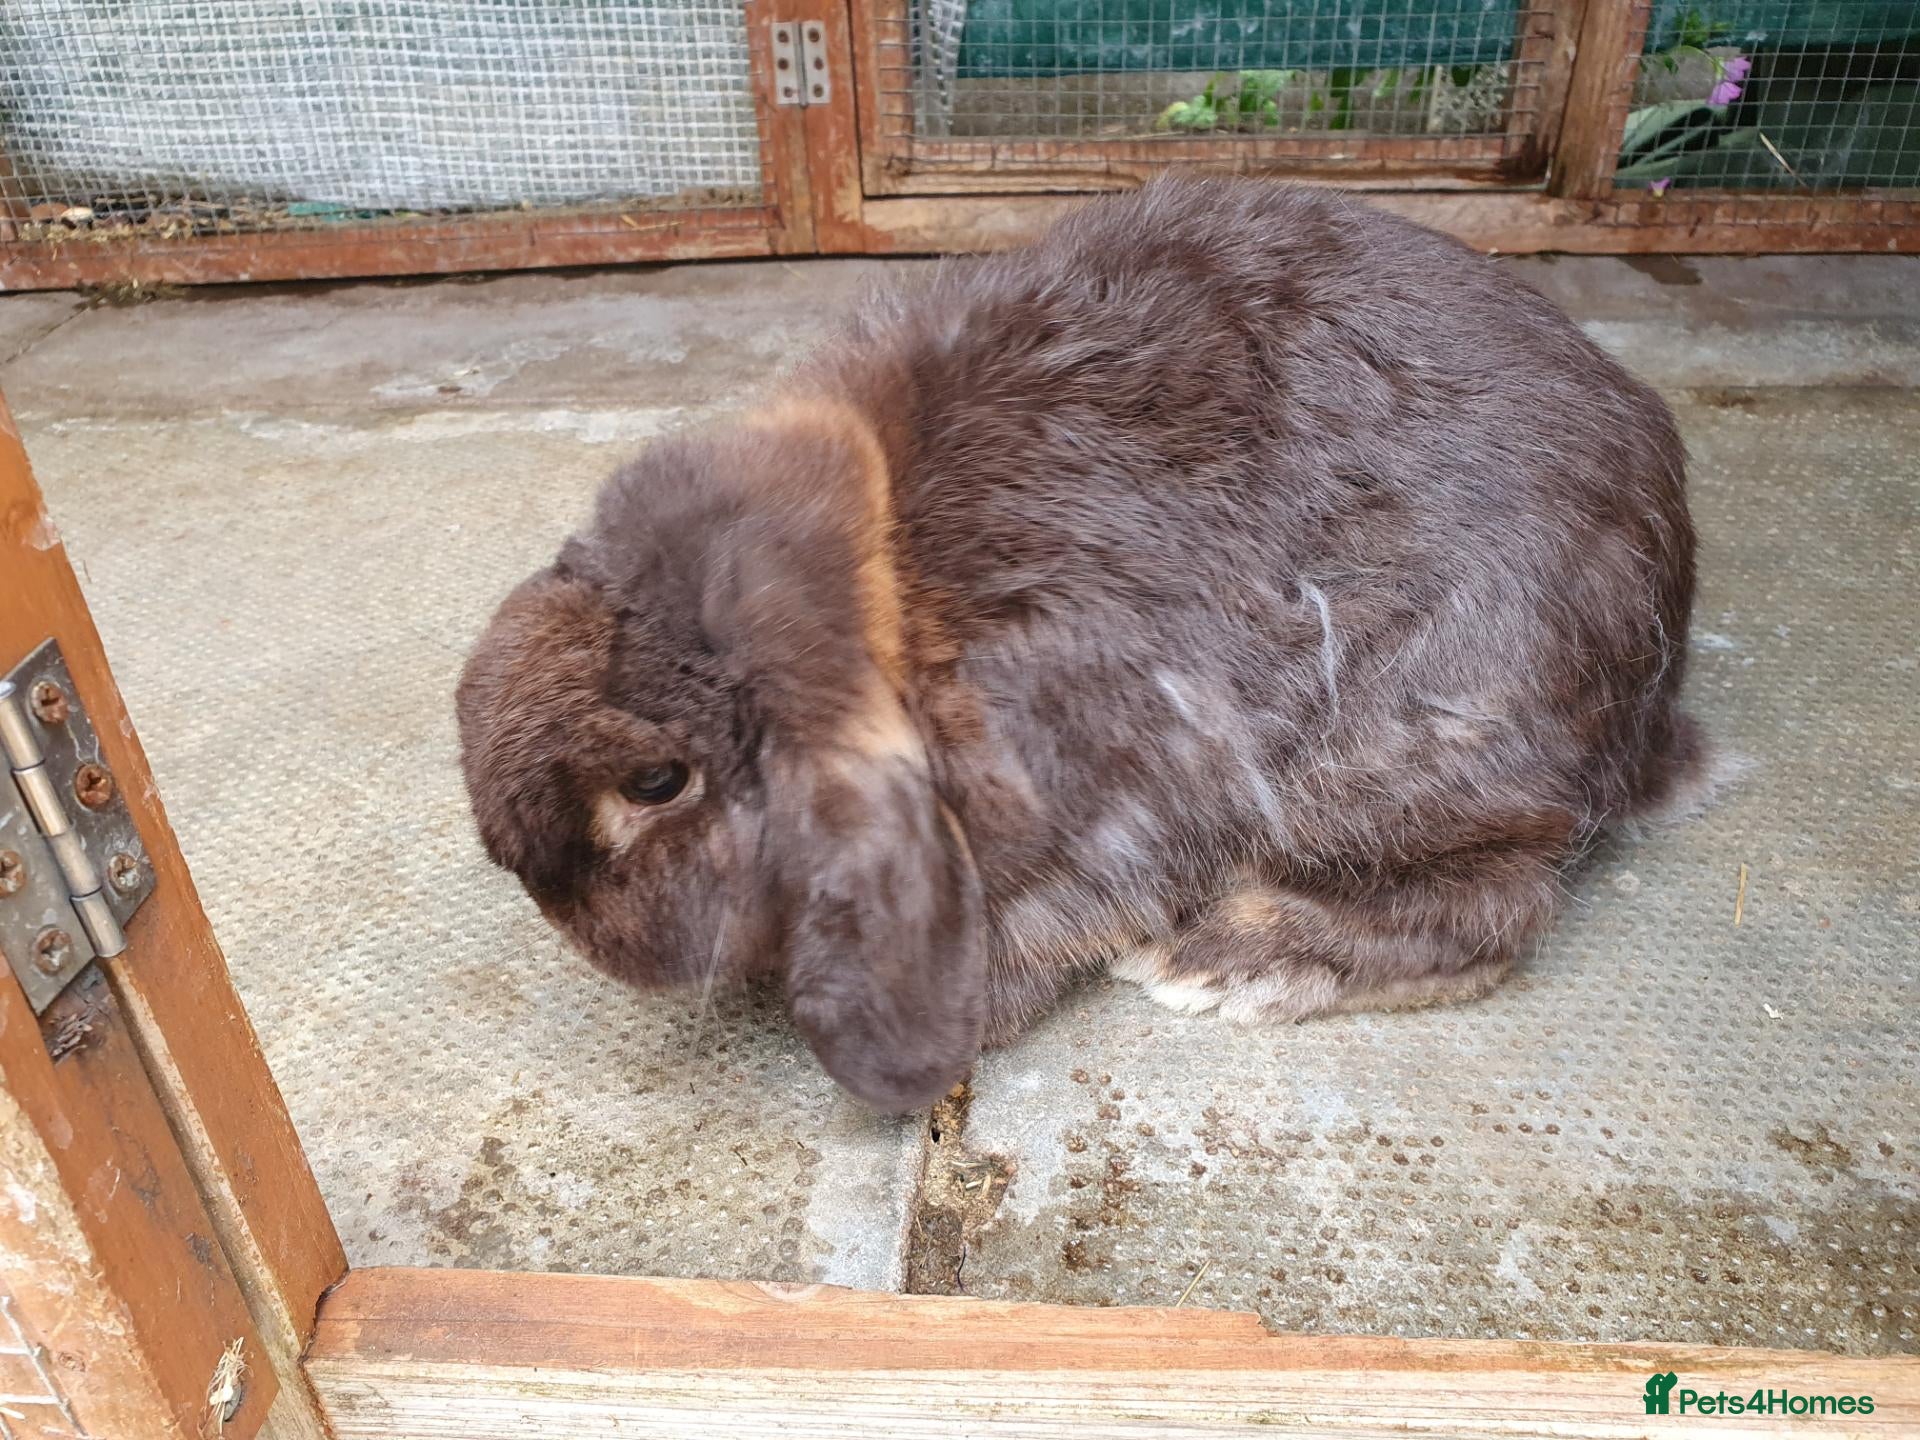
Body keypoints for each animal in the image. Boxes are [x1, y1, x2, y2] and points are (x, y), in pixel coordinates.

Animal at [456, 173, 1704, 1114]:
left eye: (656, 783)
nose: (576, 930)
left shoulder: (1106, 807)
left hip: (1408, 749)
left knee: (1496, 905)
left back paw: (1232, 958)